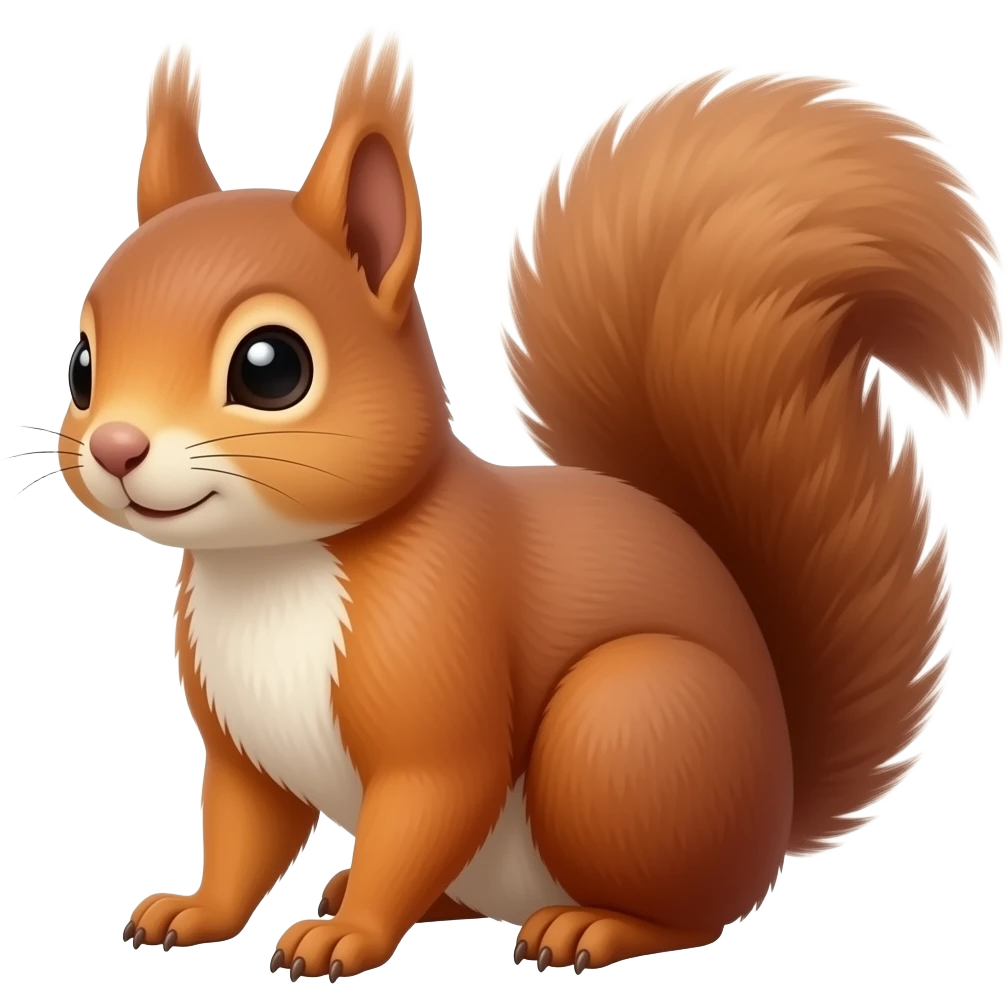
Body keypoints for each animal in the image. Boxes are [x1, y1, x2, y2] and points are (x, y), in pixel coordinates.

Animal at [55, 28, 999, 980]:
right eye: (81, 367)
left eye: (272, 366)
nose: (117, 447)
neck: (271, 568)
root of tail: (776, 809)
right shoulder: (243, 750)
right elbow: (244, 834)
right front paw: (196, 911)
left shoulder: (442, 672)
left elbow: (430, 802)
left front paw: (349, 937)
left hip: (627, 730)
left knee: (692, 912)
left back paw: (591, 927)